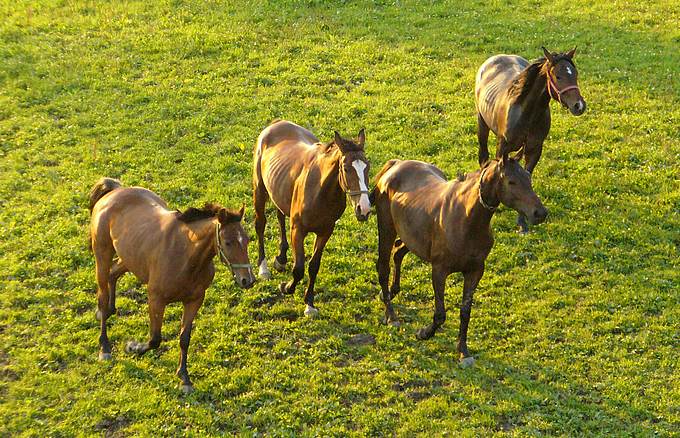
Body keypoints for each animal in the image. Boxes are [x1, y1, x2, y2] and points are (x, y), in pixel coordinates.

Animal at [87, 178, 252, 394]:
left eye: (247, 240)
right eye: (228, 242)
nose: (247, 280)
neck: (186, 255)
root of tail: (115, 190)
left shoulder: (194, 300)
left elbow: (184, 338)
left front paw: (184, 378)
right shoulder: (156, 299)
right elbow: (155, 339)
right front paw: (133, 347)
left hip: (129, 258)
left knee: (113, 274)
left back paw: (109, 311)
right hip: (102, 255)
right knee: (102, 293)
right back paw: (104, 345)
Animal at [254, 120, 372, 316]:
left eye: (367, 166)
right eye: (346, 168)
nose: (364, 209)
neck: (320, 191)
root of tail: (277, 123)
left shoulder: (325, 231)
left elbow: (313, 266)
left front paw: (309, 304)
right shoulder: (298, 229)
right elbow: (299, 268)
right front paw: (286, 287)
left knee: (279, 215)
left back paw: (281, 259)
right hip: (259, 189)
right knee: (260, 224)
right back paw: (263, 269)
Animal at [372, 154, 548, 366]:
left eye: (528, 178)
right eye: (511, 181)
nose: (540, 213)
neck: (466, 219)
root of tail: (395, 164)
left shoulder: (475, 271)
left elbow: (465, 312)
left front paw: (463, 351)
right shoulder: (439, 270)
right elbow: (440, 314)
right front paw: (424, 333)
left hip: (411, 237)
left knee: (398, 252)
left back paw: (391, 292)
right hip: (386, 228)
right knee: (383, 267)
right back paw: (391, 315)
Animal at [478, 46, 584, 233]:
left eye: (575, 74)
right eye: (558, 76)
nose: (579, 105)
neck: (526, 112)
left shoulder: (534, 149)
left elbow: (526, 175)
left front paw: (522, 222)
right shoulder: (503, 148)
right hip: (482, 124)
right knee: (483, 156)